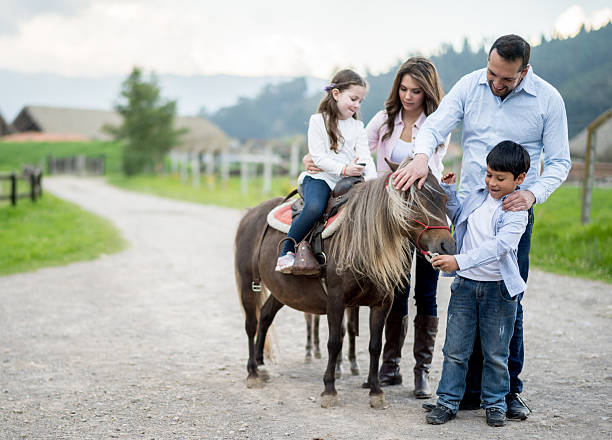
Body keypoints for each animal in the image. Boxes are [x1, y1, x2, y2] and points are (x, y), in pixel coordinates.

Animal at [234, 162, 454, 410]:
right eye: (415, 202)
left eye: (445, 199)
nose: (447, 246)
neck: (360, 242)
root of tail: (251, 214)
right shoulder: (336, 301)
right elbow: (334, 342)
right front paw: (329, 390)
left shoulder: (381, 304)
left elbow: (375, 345)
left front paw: (376, 391)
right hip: (248, 283)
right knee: (251, 324)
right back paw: (253, 372)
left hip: (282, 292)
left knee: (265, 316)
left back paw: (261, 365)